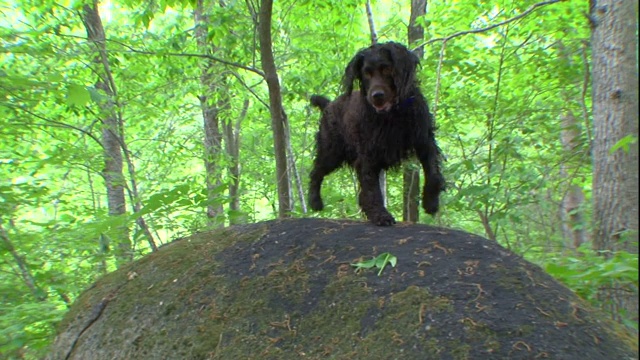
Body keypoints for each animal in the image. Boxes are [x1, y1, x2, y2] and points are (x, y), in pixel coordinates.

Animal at [308, 41, 444, 225]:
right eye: (366, 73)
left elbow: (433, 173)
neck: (393, 114)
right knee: (316, 172)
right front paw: (380, 214)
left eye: (387, 69)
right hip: (332, 151)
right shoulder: (368, 154)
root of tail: (329, 104)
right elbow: (371, 188)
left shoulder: (425, 141)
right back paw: (314, 201)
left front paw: (431, 202)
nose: (376, 96)